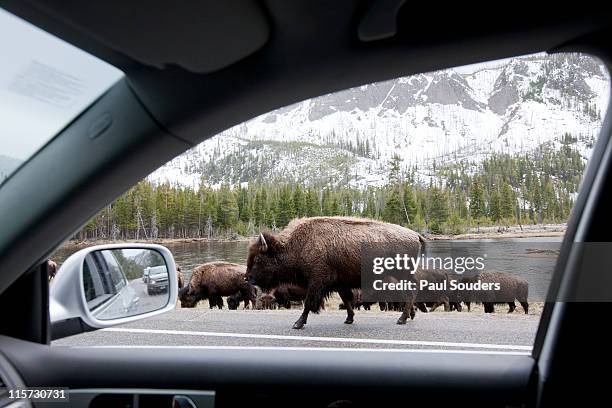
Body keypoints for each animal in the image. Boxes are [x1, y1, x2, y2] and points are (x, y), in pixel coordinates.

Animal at [241, 217, 424, 328]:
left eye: (258, 260)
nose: (247, 278)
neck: (297, 245)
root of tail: (415, 234)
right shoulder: (339, 283)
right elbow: (347, 300)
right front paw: (349, 319)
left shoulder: (316, 282)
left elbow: (308, 303)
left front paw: (298, 323)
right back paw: (409, 316)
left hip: (402, 273)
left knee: (410, 291)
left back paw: (402, 319)